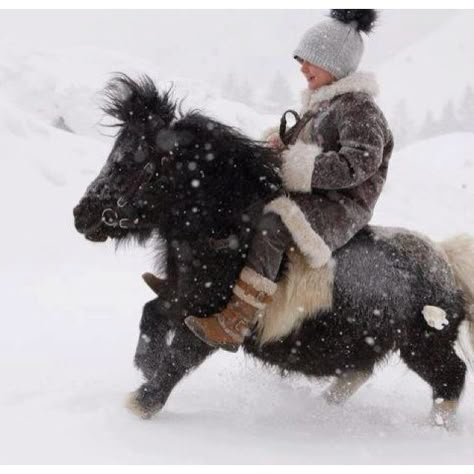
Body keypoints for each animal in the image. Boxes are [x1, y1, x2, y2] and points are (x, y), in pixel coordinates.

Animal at [73, 75, 474, 430]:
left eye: (128, 163)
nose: (81, 215)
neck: (226, 227)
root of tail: (447, 263)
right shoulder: (180, 296)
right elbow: (151, 316)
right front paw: (145, 365)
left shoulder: (208, 319)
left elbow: (179, 359)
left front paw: (140, 404)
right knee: (358, 373)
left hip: (424, 346)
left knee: (451, 378)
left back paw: (436, 427)